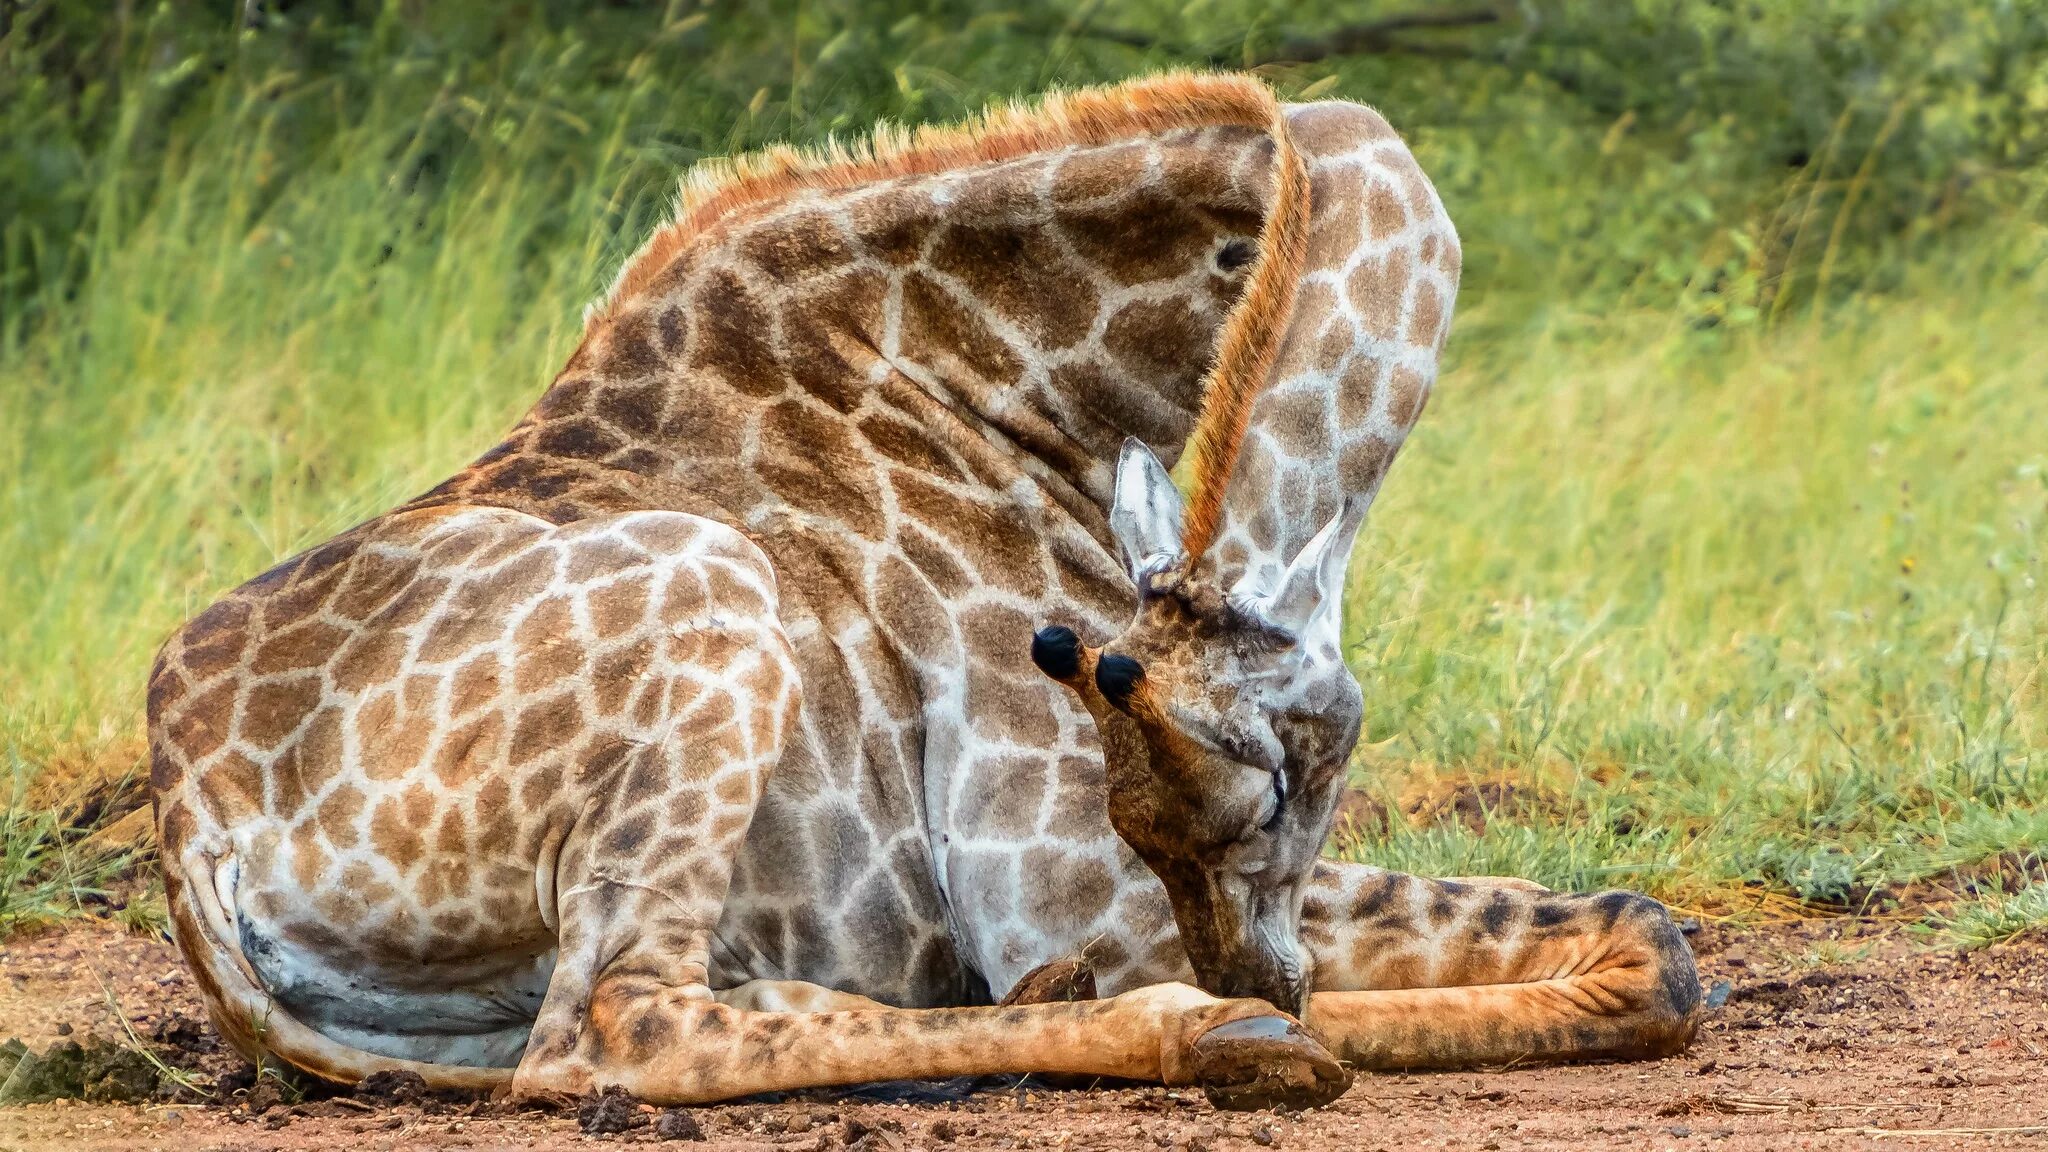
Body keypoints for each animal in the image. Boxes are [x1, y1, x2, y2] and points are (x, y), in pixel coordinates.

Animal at [148, 69, 1695, 1106]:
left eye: (1269, 793)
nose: (1257, 974)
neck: (1029, 379)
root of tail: (190, 828)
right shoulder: (1053, 882)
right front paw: (1239, 1017)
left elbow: (1651, 942)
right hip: (711, 596)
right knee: (615, 1029)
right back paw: (1214, 1035)